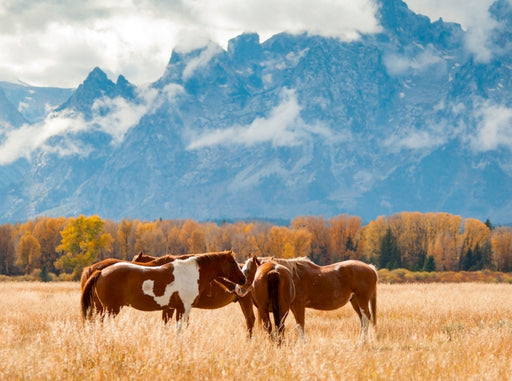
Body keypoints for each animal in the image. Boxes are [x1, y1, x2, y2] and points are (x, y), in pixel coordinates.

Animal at [81, 249, 246, 330]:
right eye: (233, 263)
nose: (244, 280)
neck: (191, 272)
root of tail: (101, 271)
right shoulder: (184, 308)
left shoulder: (173, 308)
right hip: (110, 309)